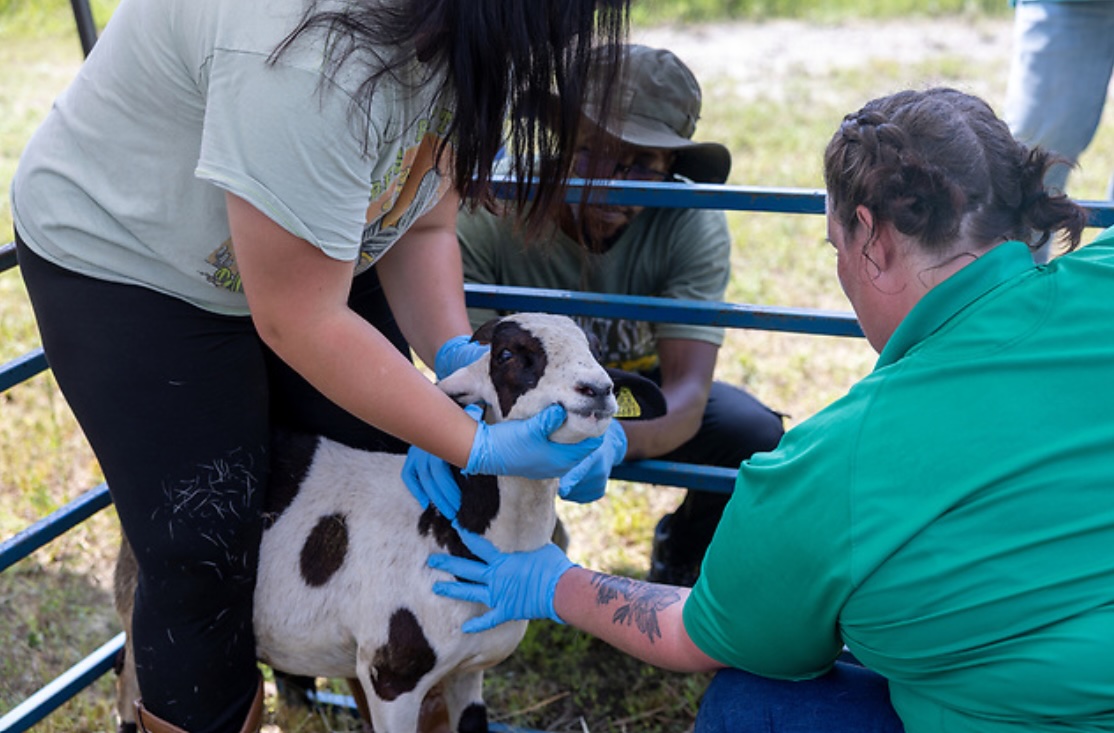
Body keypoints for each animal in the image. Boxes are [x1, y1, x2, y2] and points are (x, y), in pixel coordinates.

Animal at [114, 312, 665, 732]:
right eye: (508, 355)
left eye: (596, 349)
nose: (597, 389)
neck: (459, 535)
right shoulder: (392, 675)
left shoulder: (469, 672)